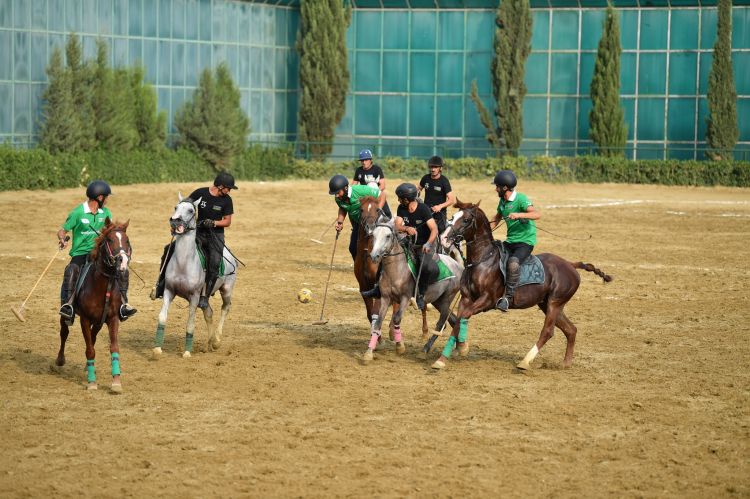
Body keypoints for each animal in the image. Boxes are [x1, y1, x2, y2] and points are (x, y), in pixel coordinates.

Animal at [55, 221, 132, 392]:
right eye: (109, 239)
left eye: (127, 240)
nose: (123, 261)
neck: (102, 285)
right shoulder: (84, 319)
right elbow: (90, 350)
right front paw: (92, 383)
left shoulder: (113, 318)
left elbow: (114, 348)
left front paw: (116, 382)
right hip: (65, 312)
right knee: (64, 332)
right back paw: (59, 360)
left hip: (99, 321)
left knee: (93, 336)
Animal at [151, 193, 236, 358]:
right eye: (176, 207)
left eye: (191, 210)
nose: (174, 221)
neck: (184, 263)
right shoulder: (169, 291)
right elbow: (162, 317)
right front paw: (157, 349)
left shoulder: (195, 297)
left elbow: (190, 324)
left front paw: (187, 352)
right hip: (206, 298)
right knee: (209, 312)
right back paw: (209, 343)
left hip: (226, 289)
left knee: (225, 308)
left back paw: (216, 340)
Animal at [364, 219, 464, 364]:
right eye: (374, 235)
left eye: (388, 236)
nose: (374, 256)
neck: (396, 269)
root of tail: (459, 267)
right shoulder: (385, 298)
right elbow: (378, 323)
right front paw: (368, 352)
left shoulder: (405, 298)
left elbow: (397, 319)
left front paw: (400, 346)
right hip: (438, 301)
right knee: (454, 320)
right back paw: (460, 347)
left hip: (447, 298)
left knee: (441, 323)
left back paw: (425, 350)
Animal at [432, 202, 612, 372]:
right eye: (452, 217)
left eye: (466, 220)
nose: (444, 238)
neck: (483, 260)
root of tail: (570, 264)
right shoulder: (466, 298)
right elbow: (458, 320)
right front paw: (444, 358)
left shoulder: (487, 300)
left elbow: (463, 316)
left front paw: (460, 348)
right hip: (548, 304)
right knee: (571, 330)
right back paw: (566, 364)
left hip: (555, 303)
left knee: (548, 331)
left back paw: (525, 362)